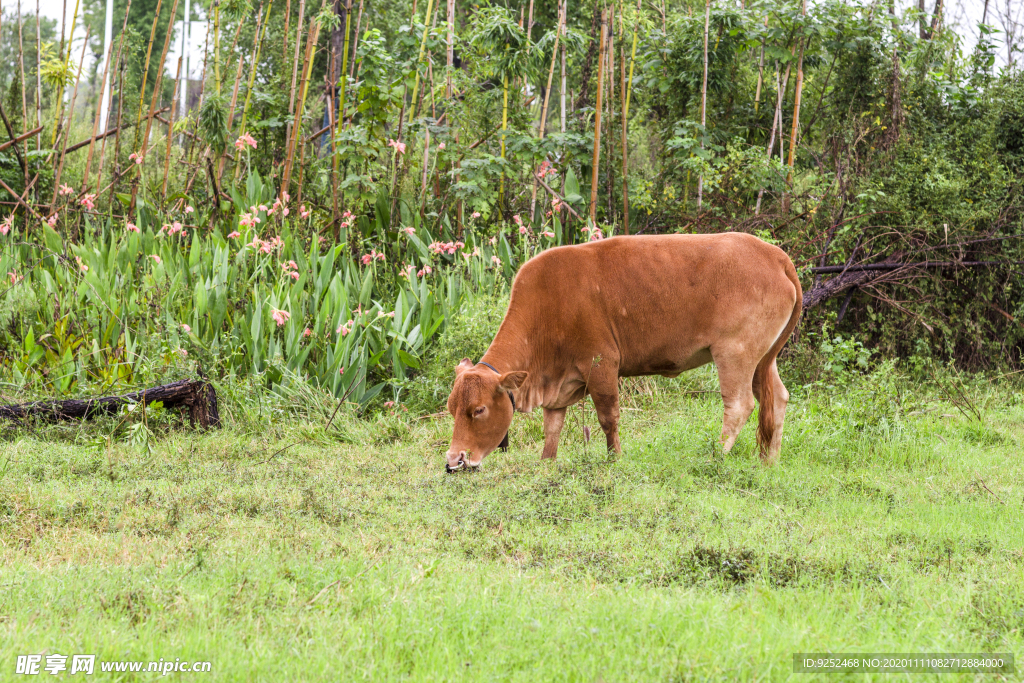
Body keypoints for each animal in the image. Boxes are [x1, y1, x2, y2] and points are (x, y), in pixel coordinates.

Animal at [444, 232, 802, 473]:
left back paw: (714, 455)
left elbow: (609, 418)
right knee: (777, 399)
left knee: (740, 404)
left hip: (735, 353)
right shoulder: (557, 385)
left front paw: (614, 458)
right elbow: (552, 428)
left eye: (478, 410)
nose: (453, 460)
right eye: (451, 409)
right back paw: (770, 461)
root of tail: (774, 255)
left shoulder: (601, 364)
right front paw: (546, 462)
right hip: (763, 358)